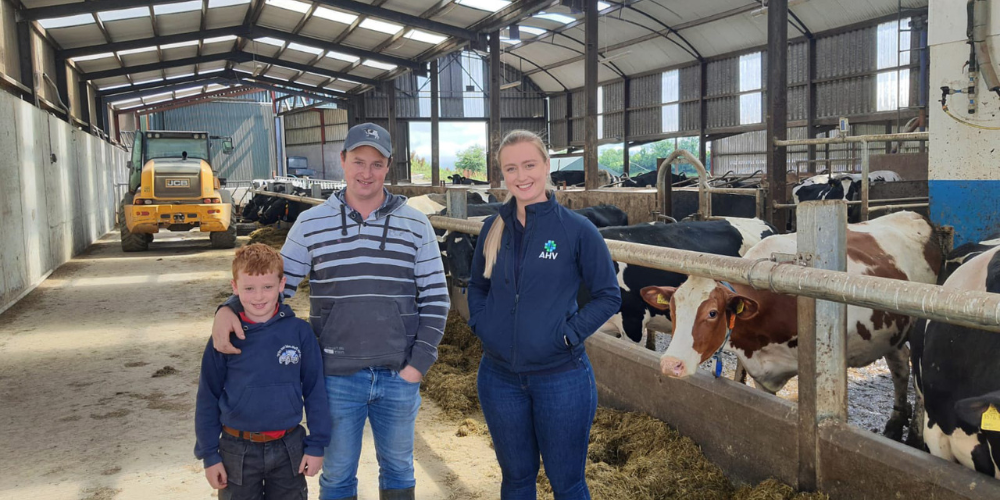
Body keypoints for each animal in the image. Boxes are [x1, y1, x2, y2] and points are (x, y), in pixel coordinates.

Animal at [640, 210, 942, 441]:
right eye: (672, 309)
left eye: (712, 313)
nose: (670, 364)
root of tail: (913, 215)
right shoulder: (761, 373)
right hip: (892, 331)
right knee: (900, 367)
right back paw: (894, 424)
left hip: (919, 329)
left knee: (919, 383)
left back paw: (915, 435)